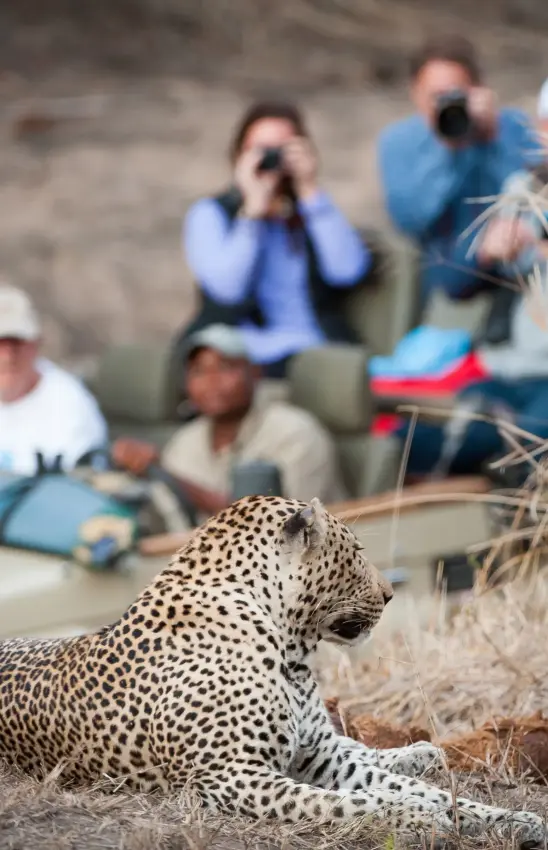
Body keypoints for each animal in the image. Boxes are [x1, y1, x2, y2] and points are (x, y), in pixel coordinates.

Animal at [0, 495, 544, 847]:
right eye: (357, 553)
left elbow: (418, 790)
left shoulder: (320, 757)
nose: (391, 594)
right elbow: (347, 803)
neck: (290, 649)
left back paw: (419, 752)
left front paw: (513, 819)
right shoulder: (229, 774)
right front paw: (418, 815)